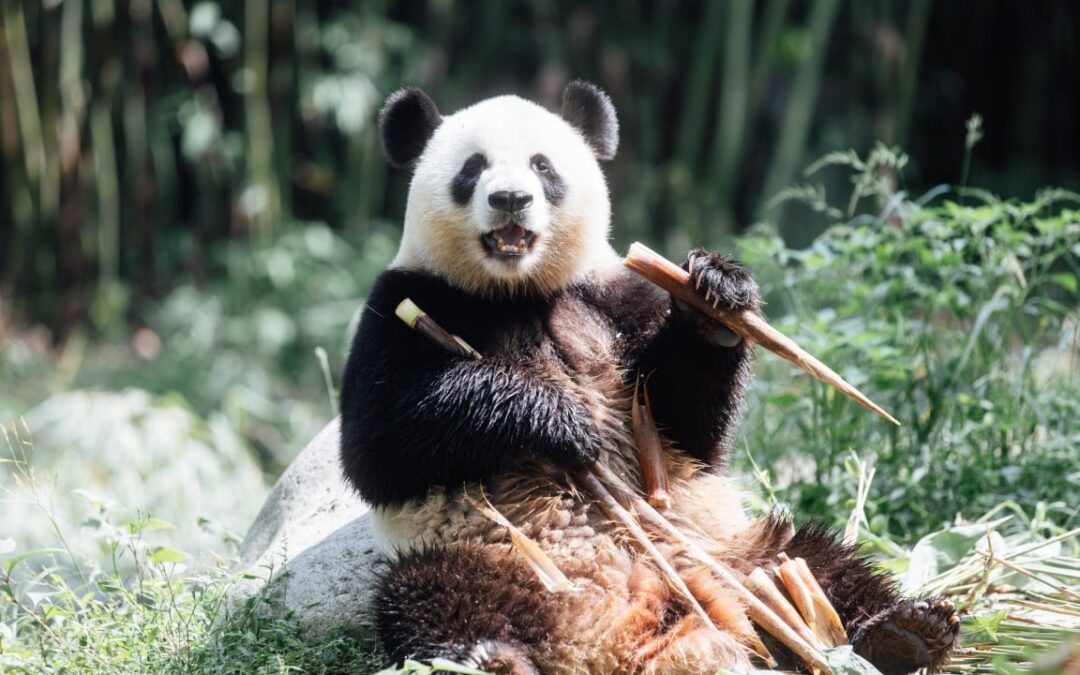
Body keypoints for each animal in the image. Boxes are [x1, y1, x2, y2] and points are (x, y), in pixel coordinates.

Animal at [339, 81, 963, 669]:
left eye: (543, 166)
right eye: (472, 168)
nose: (510, 198)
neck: (521, 291)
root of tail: (629, 618)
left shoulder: (617, 298)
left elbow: (684, 423)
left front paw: (715, 294)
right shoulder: (405, 303)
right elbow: (382, 441)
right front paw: (556, 422)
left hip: (734, 547)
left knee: (818, 560)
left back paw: (906, 631)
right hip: (494, 554)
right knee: (429, 596)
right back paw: (489, 656)